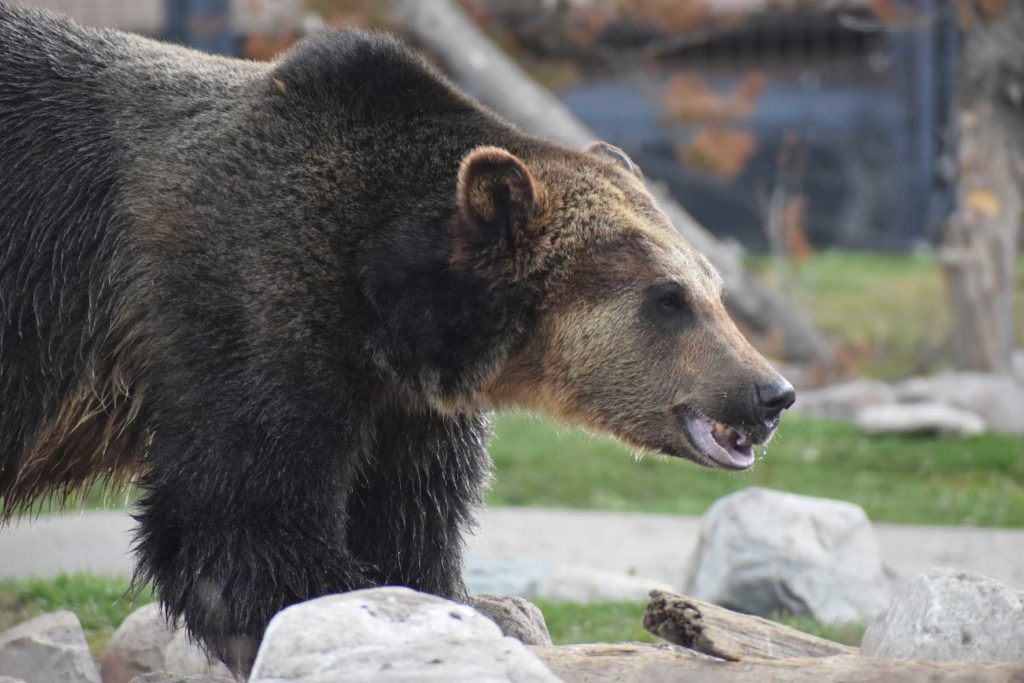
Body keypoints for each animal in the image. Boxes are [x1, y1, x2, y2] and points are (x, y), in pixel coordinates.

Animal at [0, 1, 794, 671]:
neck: (382, 305)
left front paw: (475, 605)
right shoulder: (244, 311)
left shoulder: (404, 408)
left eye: (715, 289)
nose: (771, 391)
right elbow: (235, 523)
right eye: (668, 298)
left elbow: (412, 519)